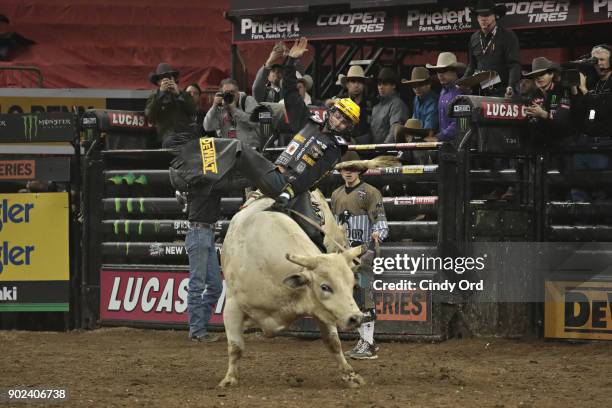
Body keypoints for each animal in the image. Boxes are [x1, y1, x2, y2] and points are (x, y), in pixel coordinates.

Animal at [219, 193, 364, 388]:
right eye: (325, 287)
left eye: (351, 285)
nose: (356, 318)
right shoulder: (232, 307)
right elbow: (236, 346)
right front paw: (229, 379)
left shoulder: (321, 310)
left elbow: (333, 343)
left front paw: (351, 376)